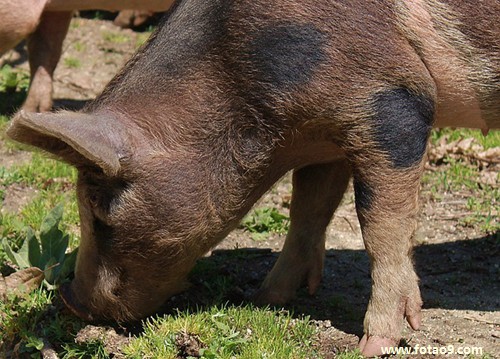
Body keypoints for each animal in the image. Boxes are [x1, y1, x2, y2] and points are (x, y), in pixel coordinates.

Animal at [4, 0, 500, 358]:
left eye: (98, 211)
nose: (69, 297)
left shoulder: (393, 99)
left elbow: (380, 224)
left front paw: (374, 346)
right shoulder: (326, 135)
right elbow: (308, 209)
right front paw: (266, 299)